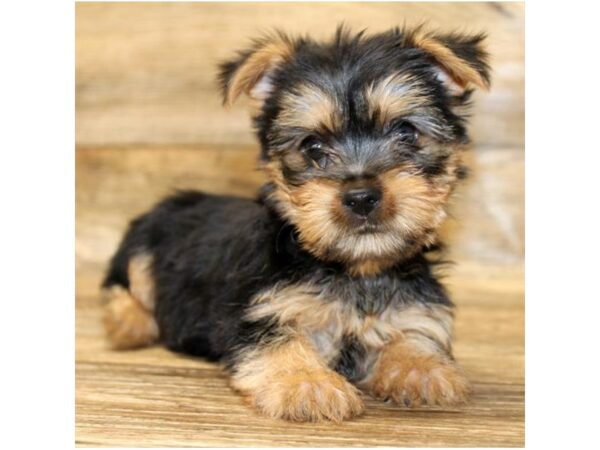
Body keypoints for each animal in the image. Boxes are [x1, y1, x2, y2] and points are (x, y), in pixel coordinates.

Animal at [101, 26, 490, 422]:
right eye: (312, 147)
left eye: (406, 133)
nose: (361, 196)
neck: (358, 269)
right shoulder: (258, 311)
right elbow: (280, 341)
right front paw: (307, 382)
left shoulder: (415, 309)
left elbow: (411, 335)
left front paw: (423, 370)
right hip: (143, 244)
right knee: (127, 285)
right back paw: (127, 324)